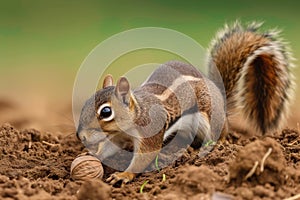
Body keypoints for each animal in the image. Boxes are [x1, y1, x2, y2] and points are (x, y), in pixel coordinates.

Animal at [76, 21, 294, 186]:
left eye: (106, 112)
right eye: (85, 103)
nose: (81, 136)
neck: (136, 115)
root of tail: (220, 96)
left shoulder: (150, 134)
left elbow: (142, 158)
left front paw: (123, 175)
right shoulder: (119, 137)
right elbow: (109, 148)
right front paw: (93, 154)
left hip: (209, 119)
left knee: (220, 132)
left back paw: (218, 144)